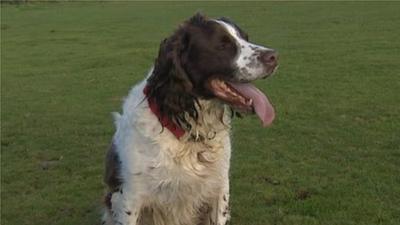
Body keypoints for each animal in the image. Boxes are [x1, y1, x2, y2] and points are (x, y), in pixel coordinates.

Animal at [102, 13, 278, 225]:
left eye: (246, 38)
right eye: (223, 45)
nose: (274, 56)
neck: (187, 130)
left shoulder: (219, 189)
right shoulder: (130, 198)